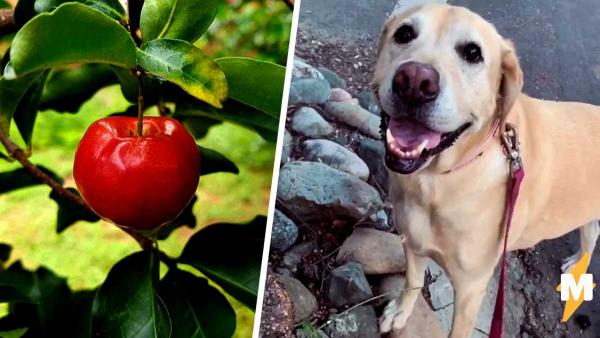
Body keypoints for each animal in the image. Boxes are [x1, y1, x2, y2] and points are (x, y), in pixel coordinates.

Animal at [370, 3, 600, 338]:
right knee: (591, 232)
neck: (438, 180)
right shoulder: (411, 241)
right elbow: (412, 281)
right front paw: (401, 313)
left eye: (472, 53)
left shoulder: (471, 289)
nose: (414, 81)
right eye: (404, 34)